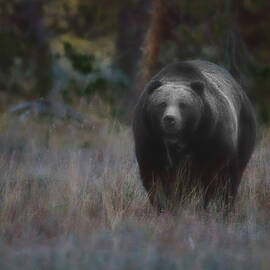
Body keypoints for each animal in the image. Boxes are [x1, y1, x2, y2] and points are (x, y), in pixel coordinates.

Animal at [134, 60, 256, 212]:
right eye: (162, 103)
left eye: (183, 104)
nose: (170, 119)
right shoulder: (149, 138)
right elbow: (153, 176)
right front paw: (163, 206)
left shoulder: (213, 137)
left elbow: (211, 176)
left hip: (243, 134)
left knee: (231, 180)